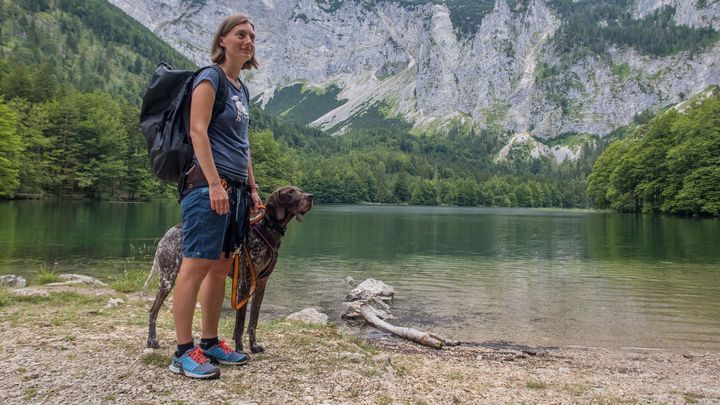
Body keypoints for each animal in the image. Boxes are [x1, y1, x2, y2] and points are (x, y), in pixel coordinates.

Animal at [146, 185, 312, 350]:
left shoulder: (261, 284)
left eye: (300, 190)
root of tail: (167, 234)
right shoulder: (245, 283)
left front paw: (254, 346)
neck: (266, 230)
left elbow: (253, 321)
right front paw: (240, 349)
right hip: (168, 279)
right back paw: (152, 340)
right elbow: (240, 323)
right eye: (290, 192)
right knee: (153, 311)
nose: (310, 196)